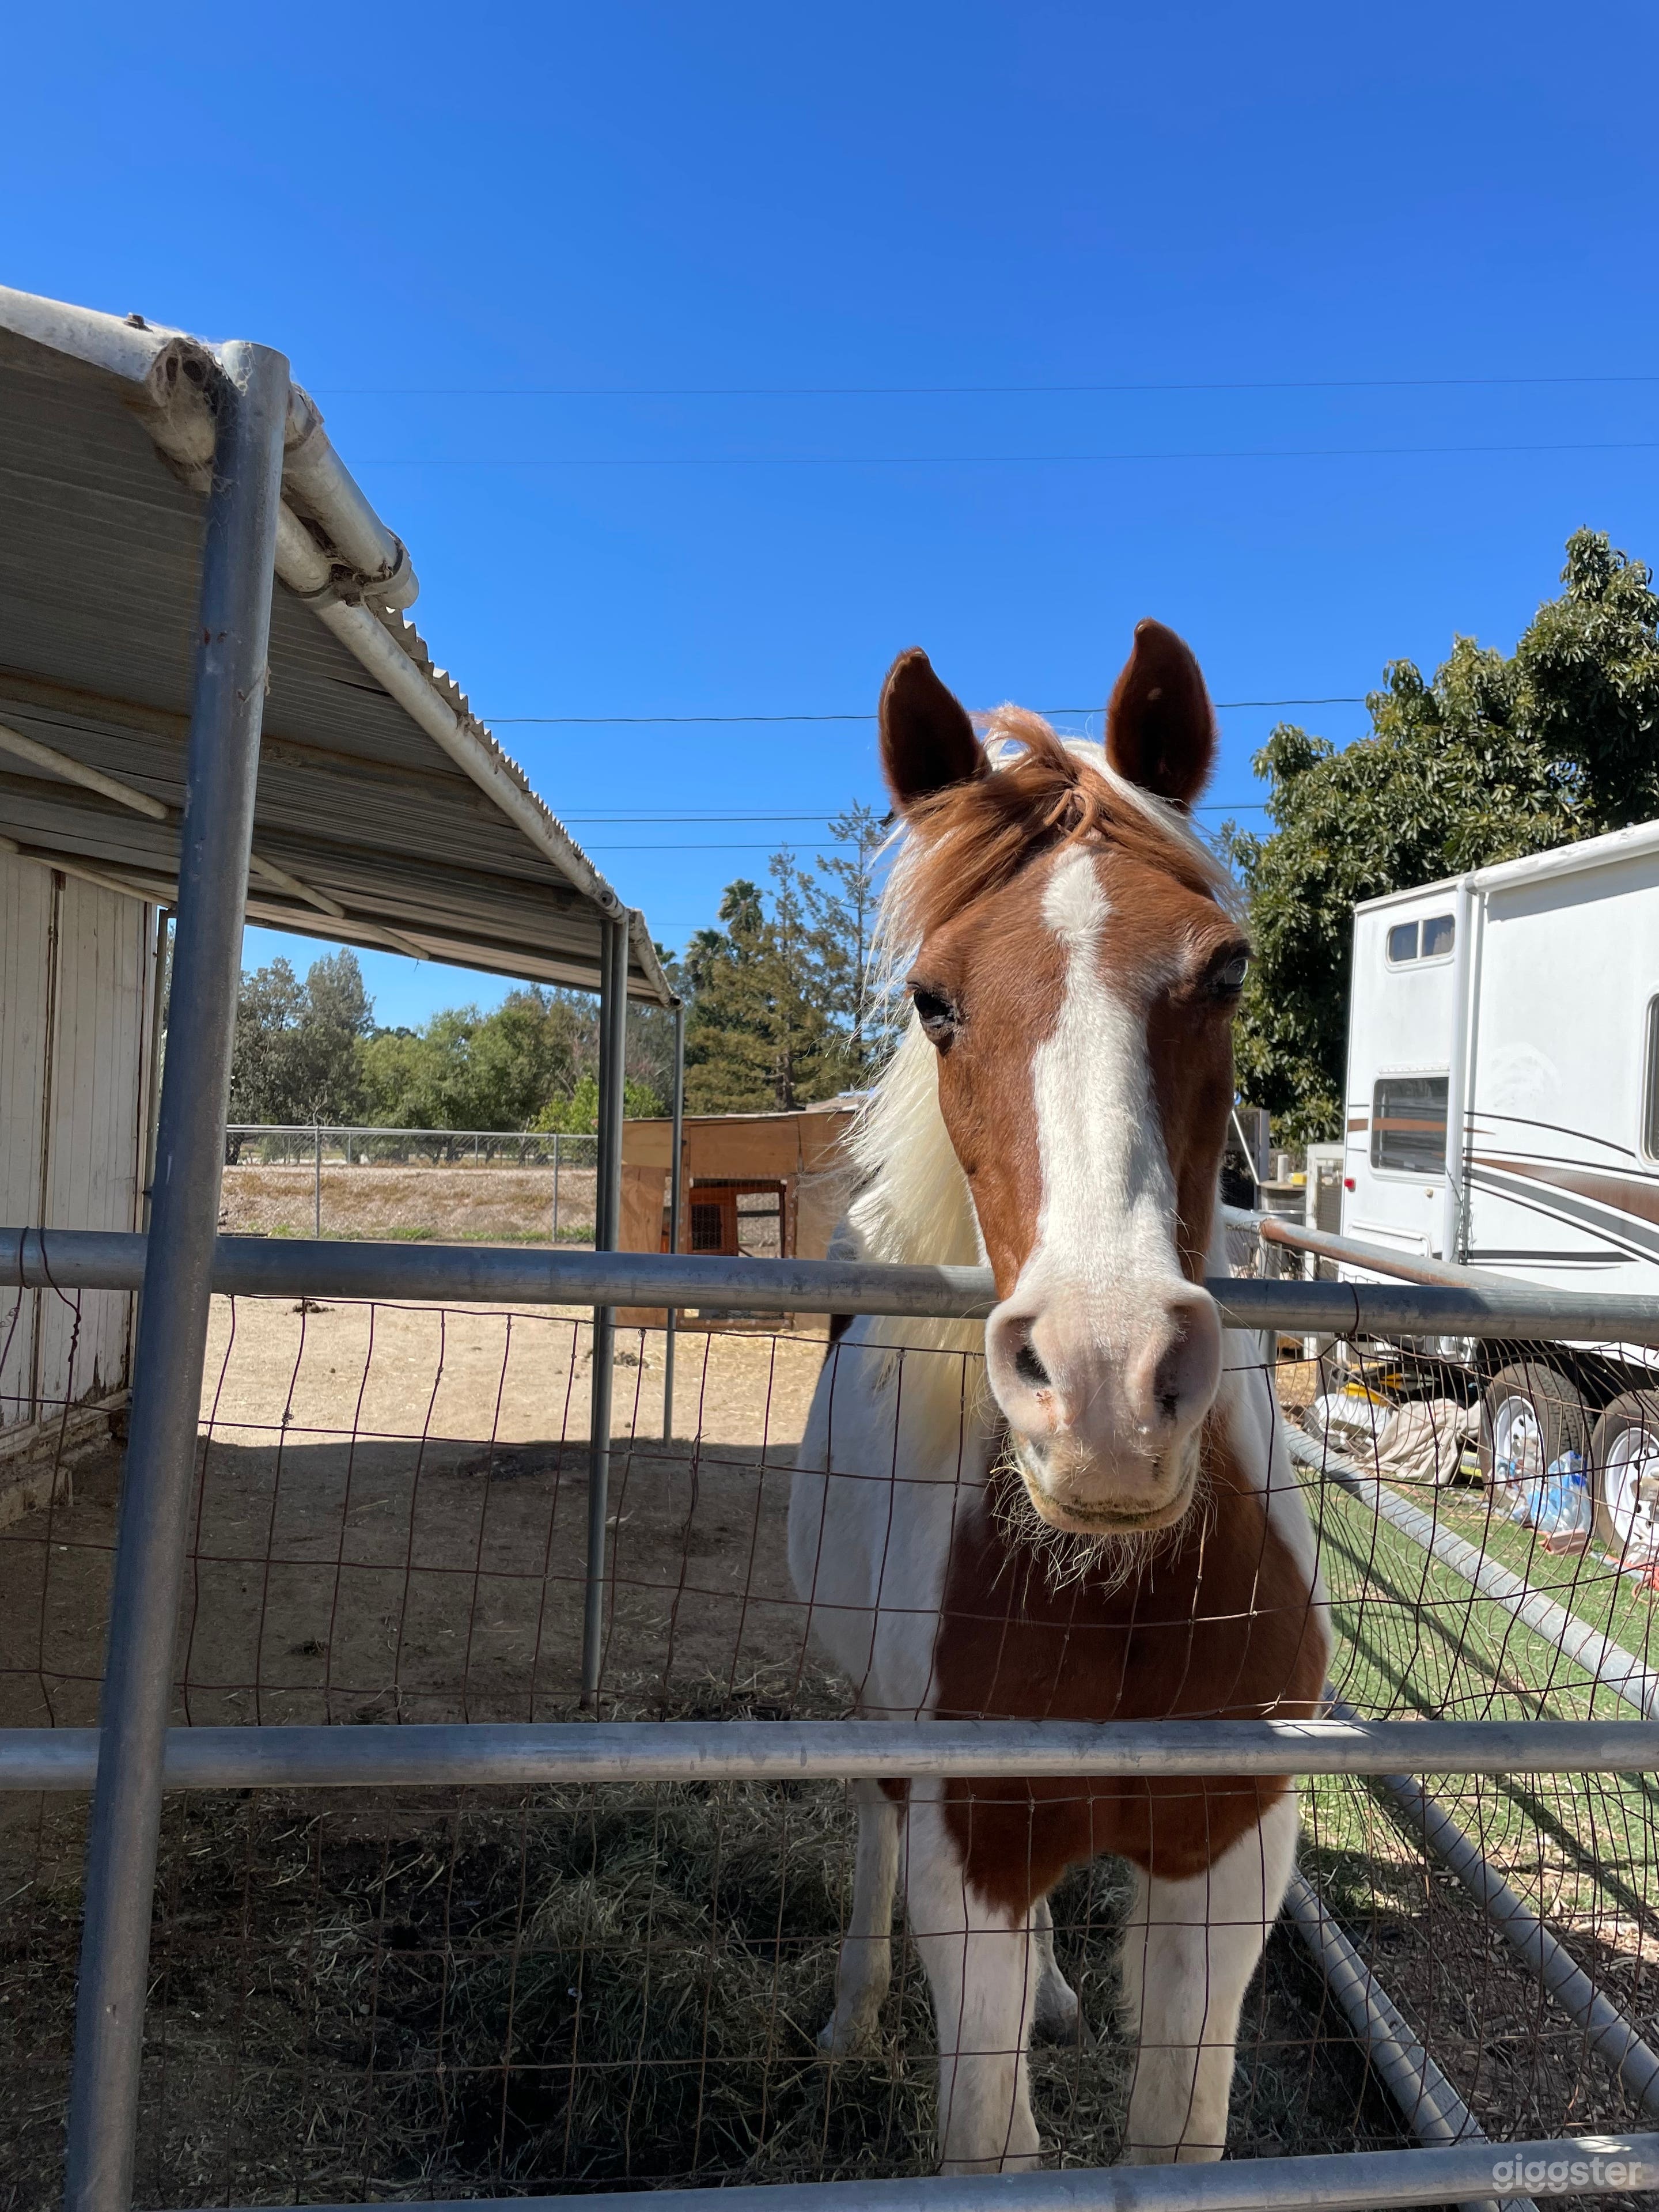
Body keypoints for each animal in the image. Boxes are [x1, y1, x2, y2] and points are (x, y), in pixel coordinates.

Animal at [787, 621, 1328, 2174]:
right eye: (932, 999)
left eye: (1225, 970)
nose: (1105, 1389)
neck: (1123, 1594)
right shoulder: (970, 1848)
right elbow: (991, 2138)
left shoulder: (1229, 1857)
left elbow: (1177, 2143)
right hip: (874, 1733)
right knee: (868, 1829)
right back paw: (850, 2016)